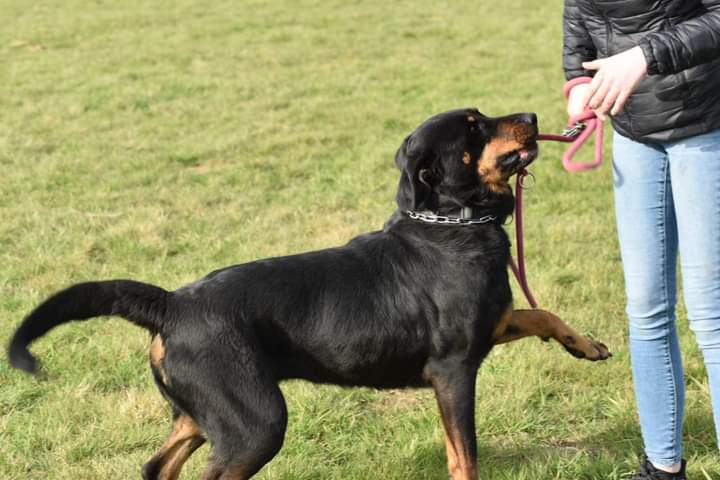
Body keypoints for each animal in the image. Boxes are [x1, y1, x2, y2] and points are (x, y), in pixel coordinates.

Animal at [8, 109, 612, 480]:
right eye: (474, 128)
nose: (532, 118)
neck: (450, 225)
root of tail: (172, 305)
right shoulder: (453, 371)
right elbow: (464, 457)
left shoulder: (495, 325)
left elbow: (542, 312)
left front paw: (588, 346)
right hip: (255, 424)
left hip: (206, 416)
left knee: (158, 466)